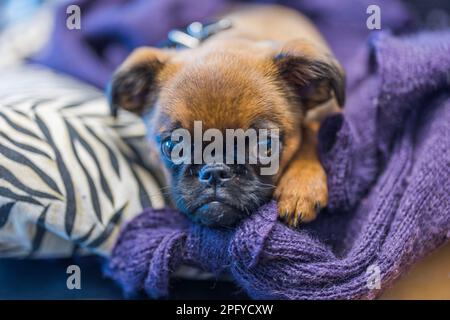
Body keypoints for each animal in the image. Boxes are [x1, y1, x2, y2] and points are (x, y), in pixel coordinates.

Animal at [108, 3, 344, 228]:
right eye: (172, 146)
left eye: (264, 144)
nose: (214, 171)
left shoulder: (328, 110)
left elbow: (312, 134)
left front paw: (300, 186)